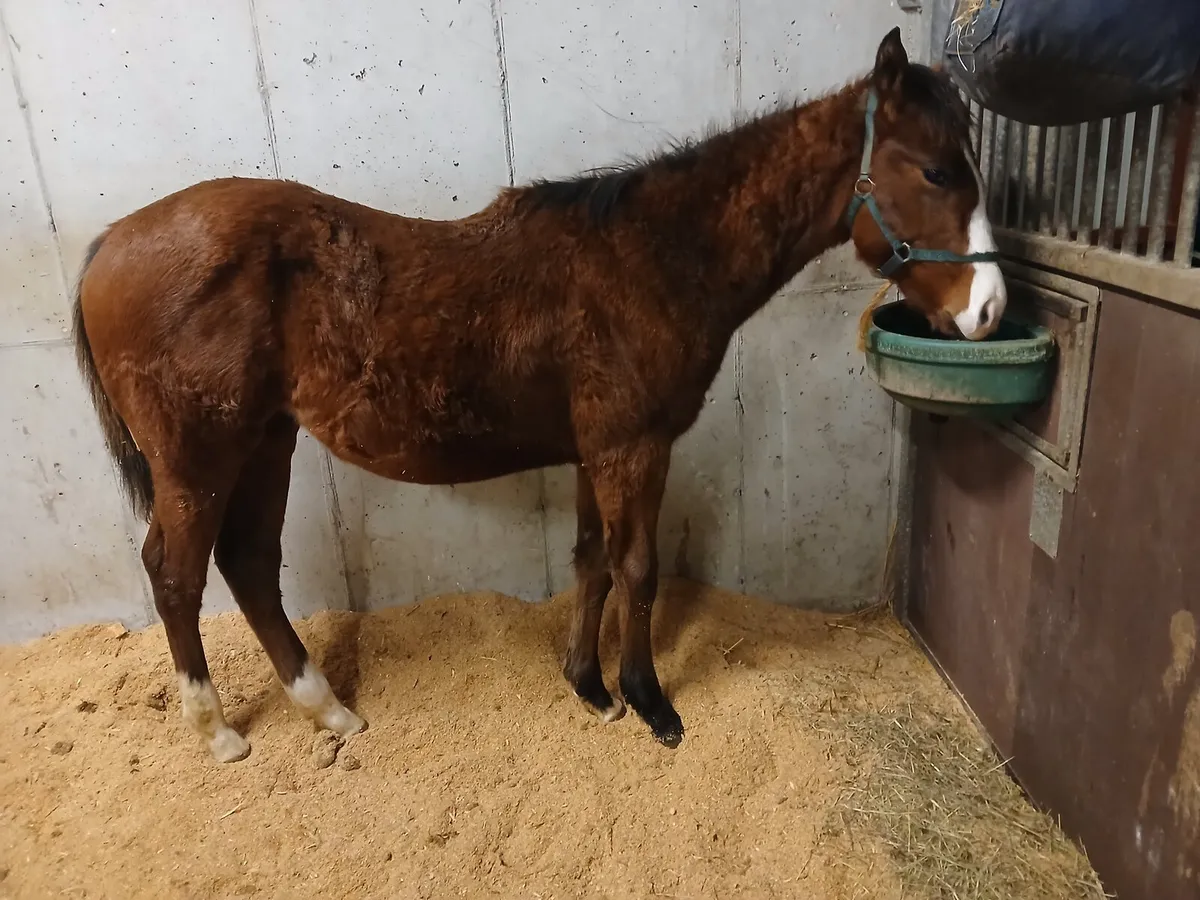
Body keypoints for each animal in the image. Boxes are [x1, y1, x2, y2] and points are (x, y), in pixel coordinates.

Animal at [71, 28, 1004, 763]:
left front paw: (588, 685)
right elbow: (638, 568)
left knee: (250, 567)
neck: (651, 257)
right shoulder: (634, 447)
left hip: (266, 440)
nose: (990, 310)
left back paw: (327, 710)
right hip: (198, 460)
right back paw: (219, 731)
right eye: (934, 170)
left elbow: (591, 559)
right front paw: (649, 701)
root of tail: (113, 241)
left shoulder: (596, 451)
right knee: (176, 575)